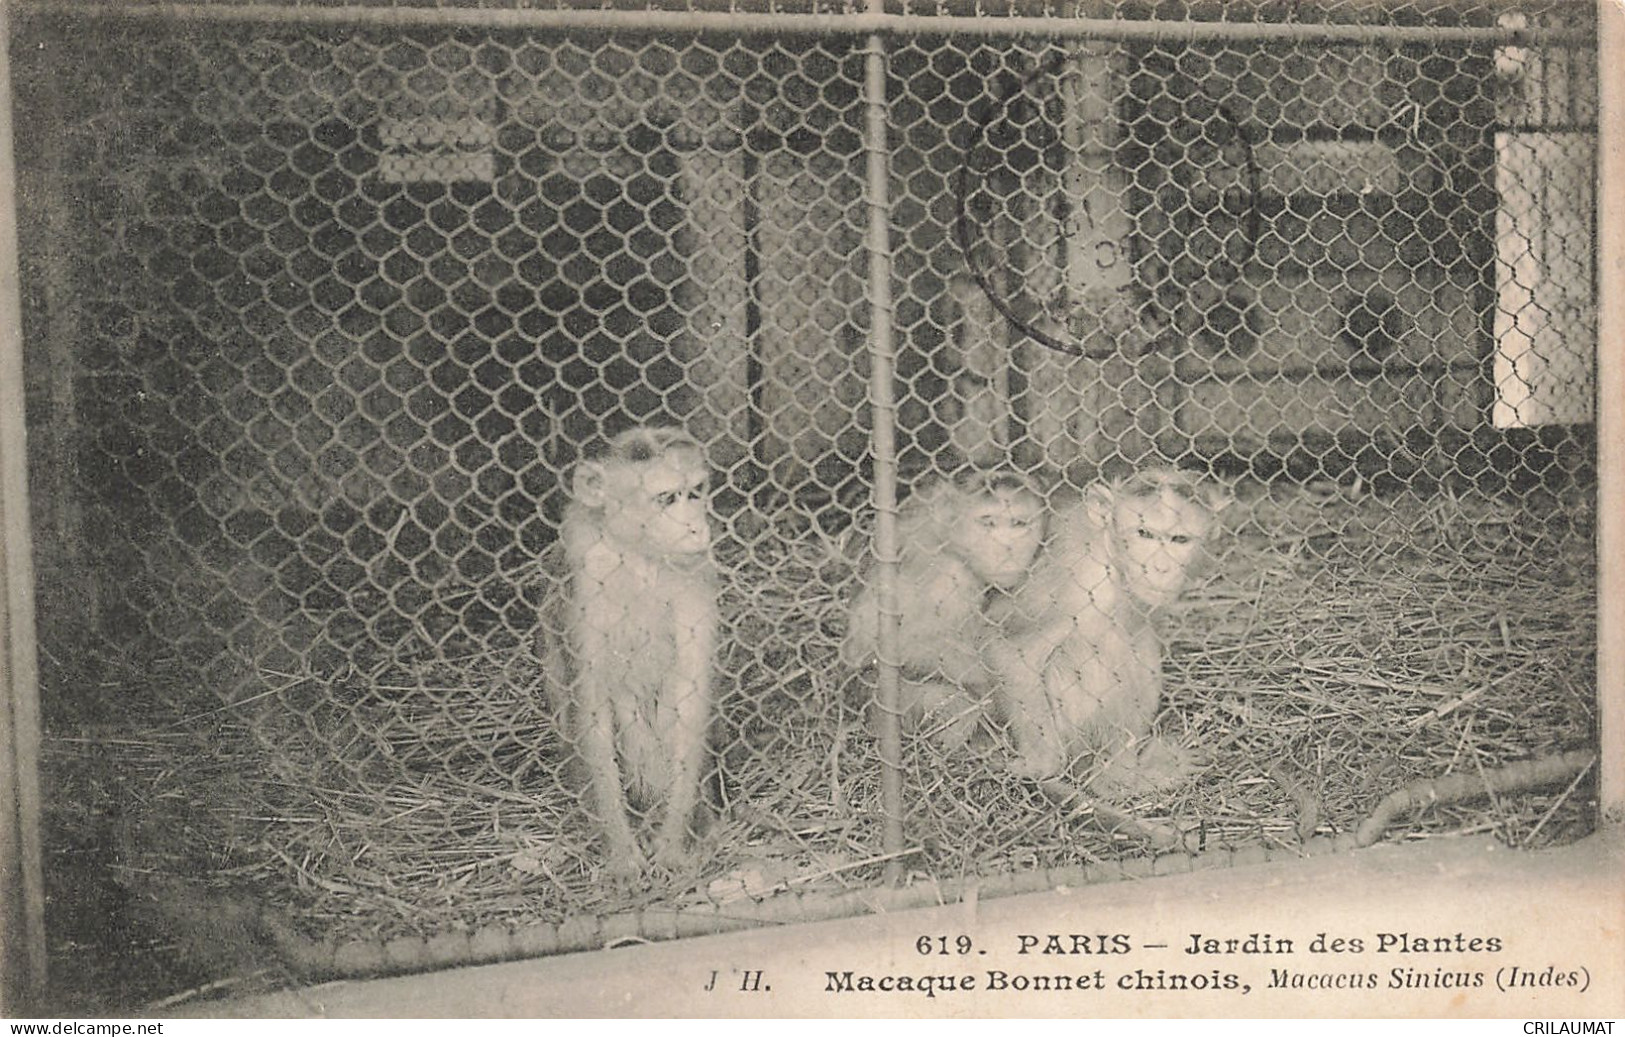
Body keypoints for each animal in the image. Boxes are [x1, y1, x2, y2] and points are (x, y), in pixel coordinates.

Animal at [539, 425, 718, 884]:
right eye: (668, 498)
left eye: (696, 492)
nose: (697, 527)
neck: (638, 554)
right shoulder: (584, 570)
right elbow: (592, 707)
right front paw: (622, 851)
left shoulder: (693, 569)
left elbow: (689, 698)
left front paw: (671, 843)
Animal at [981, 471, 1222, 796]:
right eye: (1144, 533)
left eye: (1179, 540)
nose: (1160, 568)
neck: (1110, 556)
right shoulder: (1075, 581)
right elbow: (1008, 650)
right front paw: (1043, 762)